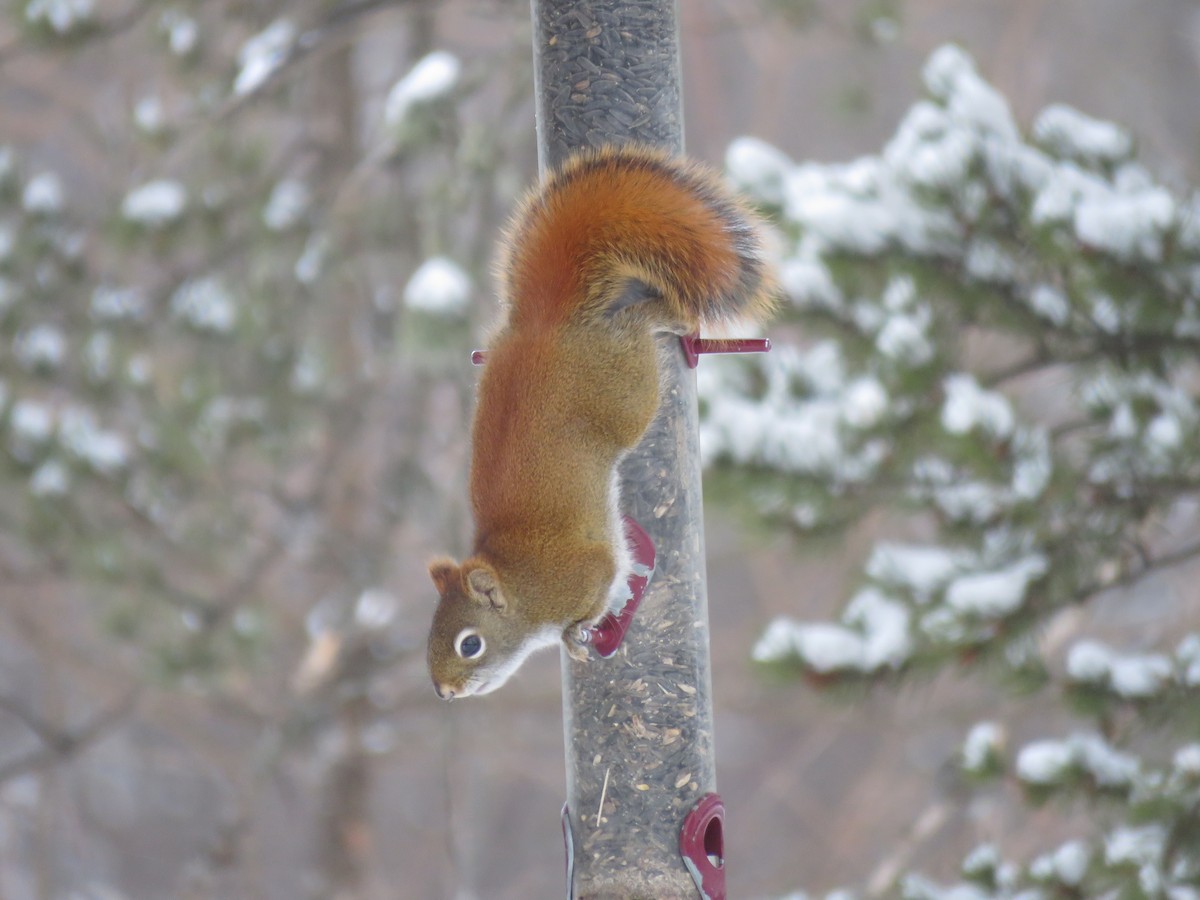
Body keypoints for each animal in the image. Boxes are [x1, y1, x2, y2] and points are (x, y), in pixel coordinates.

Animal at [426, 145, 777, 699]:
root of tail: (548, 324)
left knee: (636, 329)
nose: (443, 691)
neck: (520, 584)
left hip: (625, 393)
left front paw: (574, 634)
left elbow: (600, 583)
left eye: (470, 643)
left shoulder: (583, 574)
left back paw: (658, 315)